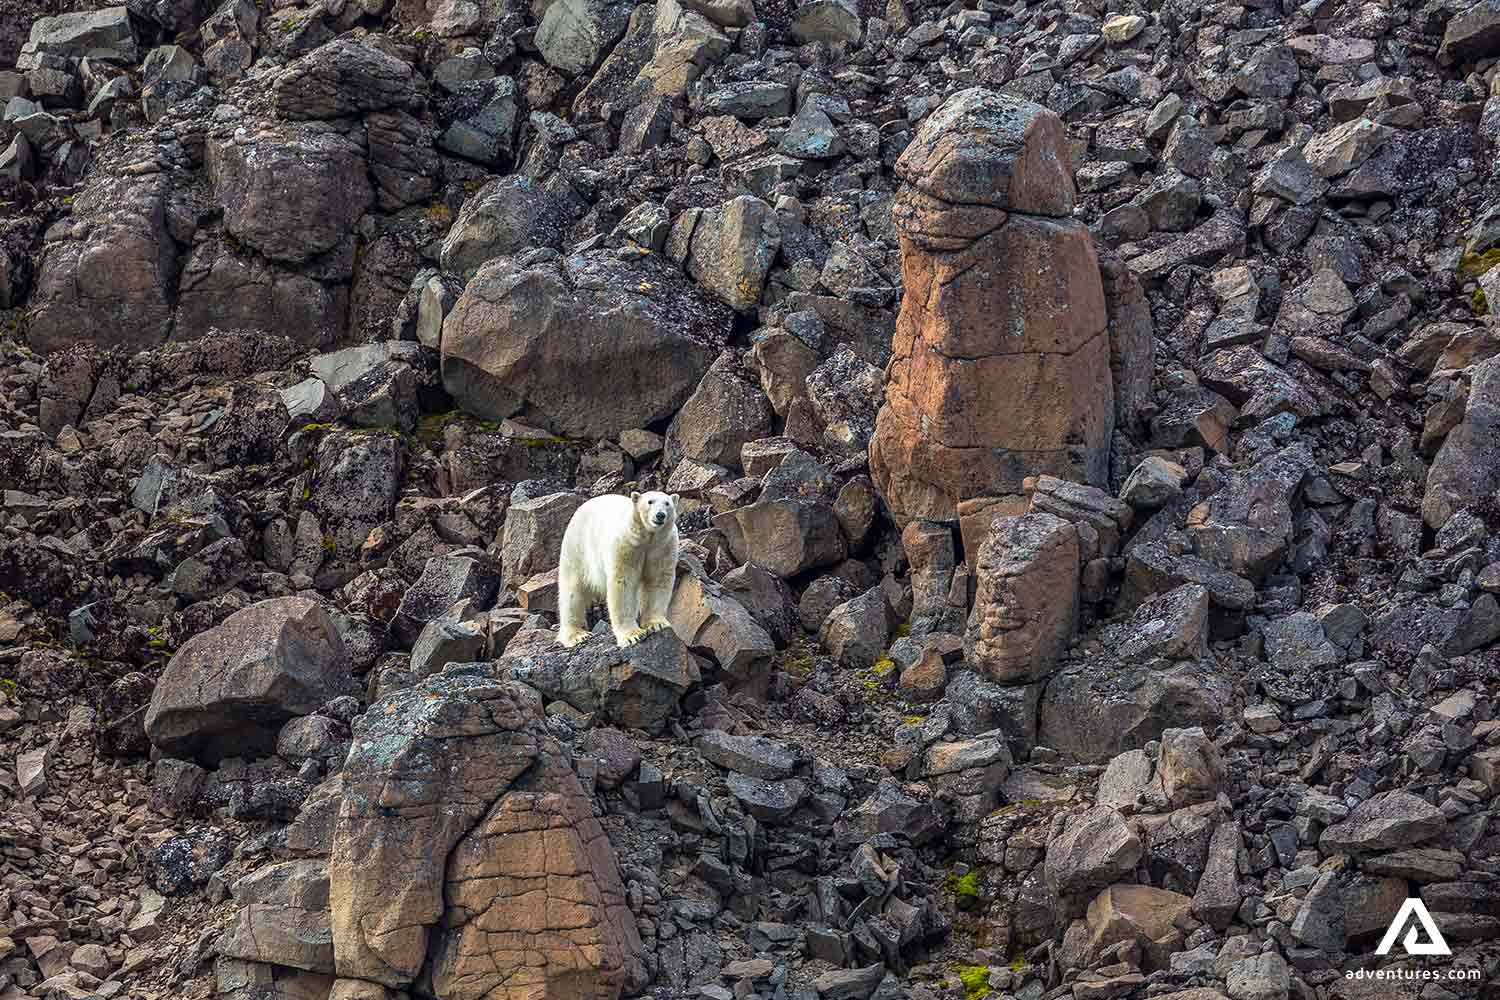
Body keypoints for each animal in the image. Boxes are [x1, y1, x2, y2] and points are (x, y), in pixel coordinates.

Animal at [556, 490, 680, 648]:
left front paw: (657, 624)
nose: (660, 515)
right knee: (572, 591)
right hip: (577, 549)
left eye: (667, 503)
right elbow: (623, 583)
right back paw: (576, 635)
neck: (647, 537)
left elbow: (658, 580)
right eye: (650, 501)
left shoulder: (663, 547)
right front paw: (632, 636)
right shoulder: (625, 545)